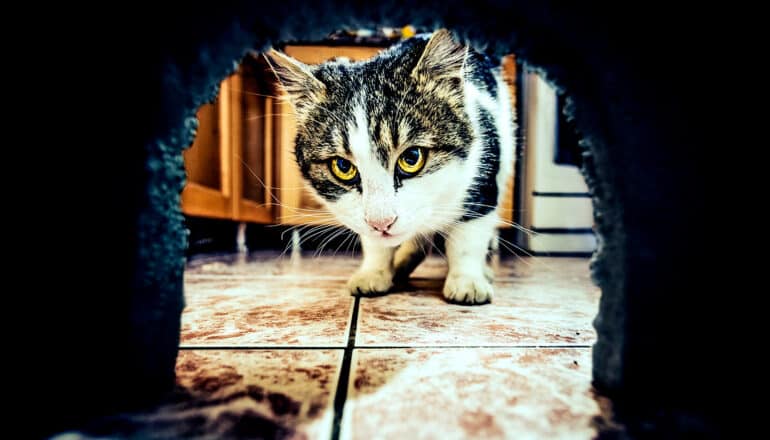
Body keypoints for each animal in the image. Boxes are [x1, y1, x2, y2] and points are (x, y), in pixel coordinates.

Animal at [268, 27, 512, 302]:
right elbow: (375, 243)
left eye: (412, 158)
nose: (381, 223)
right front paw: (374, 271)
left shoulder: (482, 174)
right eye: (343, 167)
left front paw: (467, 280)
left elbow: (468, 236)